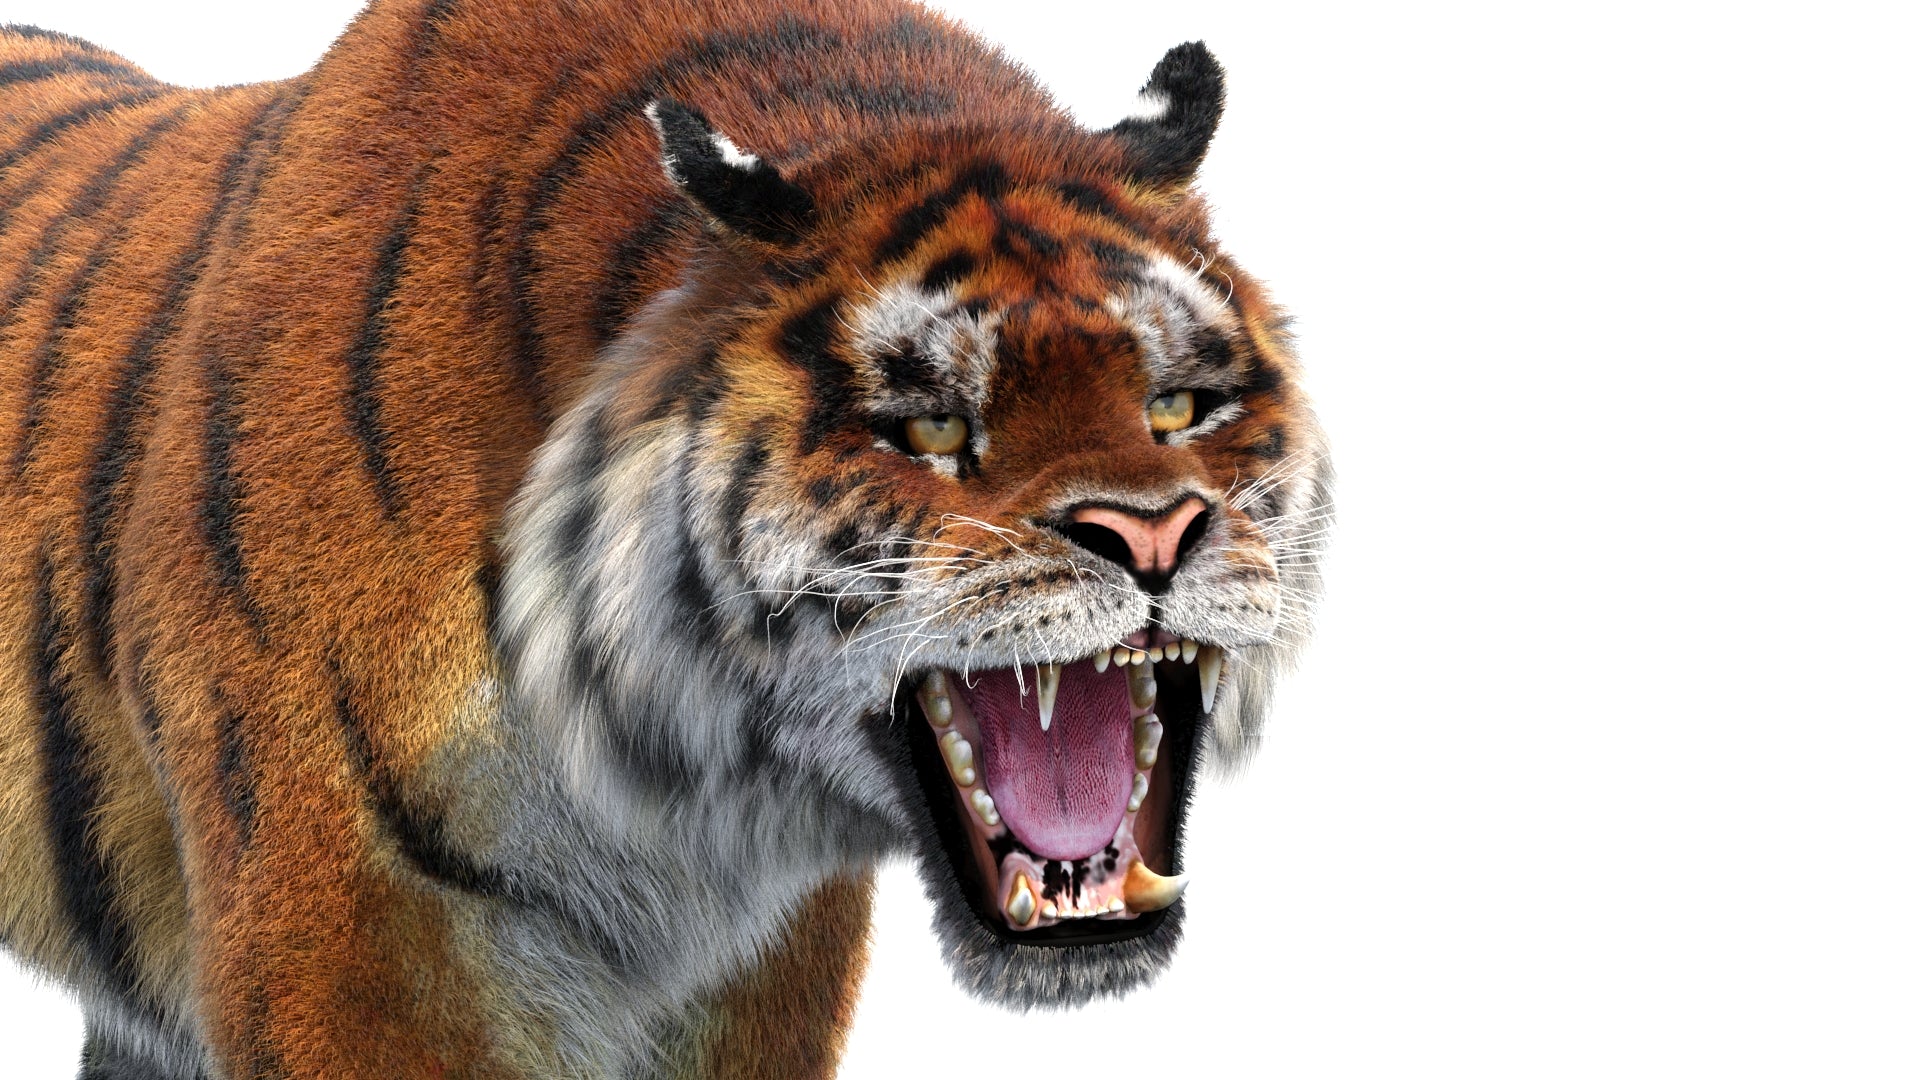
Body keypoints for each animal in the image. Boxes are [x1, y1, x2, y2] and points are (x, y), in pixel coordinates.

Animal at [0, 0, 1331, 1076]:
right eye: (935, 427)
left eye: (1176, 408)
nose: (1153, 535)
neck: (669, 780)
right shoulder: (345, 930)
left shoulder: (763, 963)